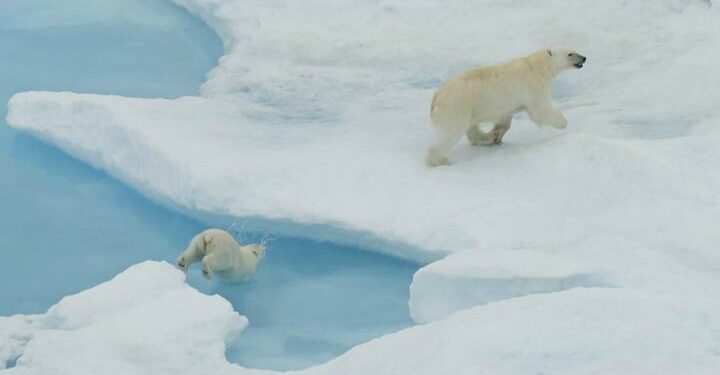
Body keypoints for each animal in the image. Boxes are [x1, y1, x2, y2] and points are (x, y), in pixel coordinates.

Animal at [428, 46, 584, 166]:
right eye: (570, 53)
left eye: (575, 49)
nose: (584, 58)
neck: (536, 67)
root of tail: (436, 96)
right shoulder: (533, 87)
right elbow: (540, 110)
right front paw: (563, 122)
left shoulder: (509, 103)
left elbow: (505, 119)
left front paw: (496, 135)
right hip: (457, 106)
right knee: (451, 132)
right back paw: (439, 160)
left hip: (469, 108)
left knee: (471, 127)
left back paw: (485, 138)